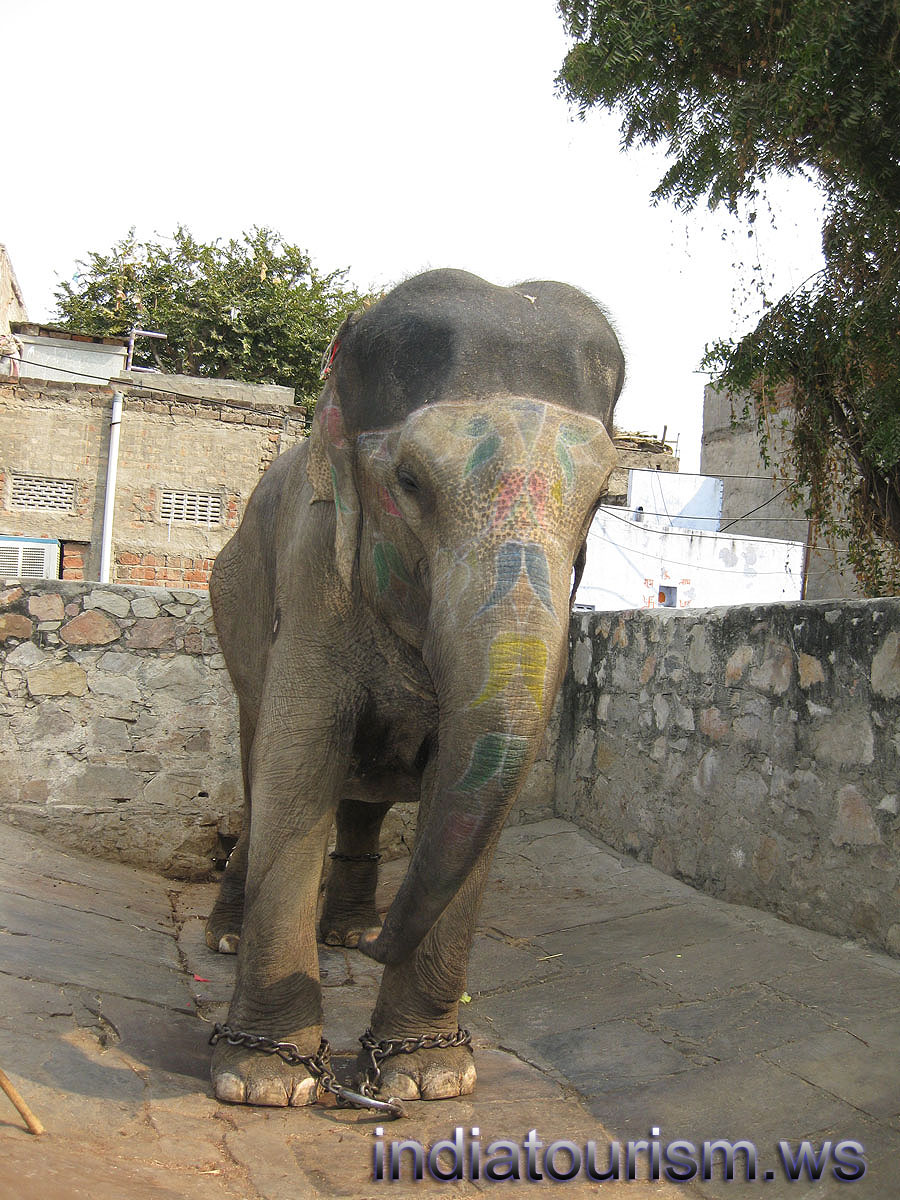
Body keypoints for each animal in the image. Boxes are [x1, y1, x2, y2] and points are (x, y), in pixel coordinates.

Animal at [205, 268, 623, 1107]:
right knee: (255, 761)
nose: (377, 956)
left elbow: (468, 788)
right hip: (234, 606)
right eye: (408, 481)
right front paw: (262, 1080)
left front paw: (429, 1077)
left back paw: (351, 933)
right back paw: (235, 936)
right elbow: (298, 761)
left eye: (599, 501)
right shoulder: (314, 567)